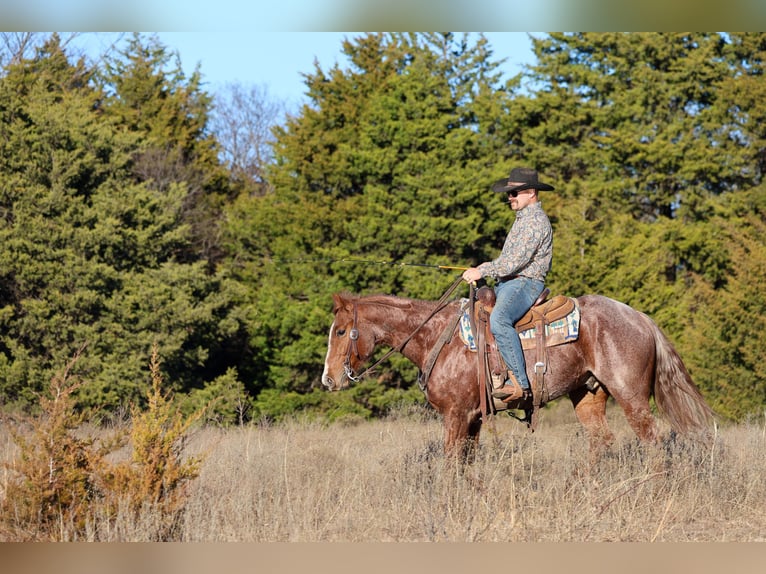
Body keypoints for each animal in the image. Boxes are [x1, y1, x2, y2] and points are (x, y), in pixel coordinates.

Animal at [321, 286, 715, 462]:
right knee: (601, 441)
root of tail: (640, 318)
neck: (437, 337)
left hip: (631, 396)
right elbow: (466, 461)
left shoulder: (456, 414)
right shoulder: (473, 416)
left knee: (652, 442)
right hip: (588, 395)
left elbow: (452, 461)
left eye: (340, 331)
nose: (328, 380)